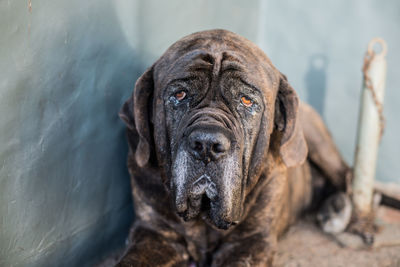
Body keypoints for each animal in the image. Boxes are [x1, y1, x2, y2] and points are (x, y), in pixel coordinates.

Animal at [118, 28, 350, 266]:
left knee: (346, 175)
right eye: (180, 95)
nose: (207, 144)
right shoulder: (154, 231)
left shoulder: (250, 242)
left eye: (246, 100)